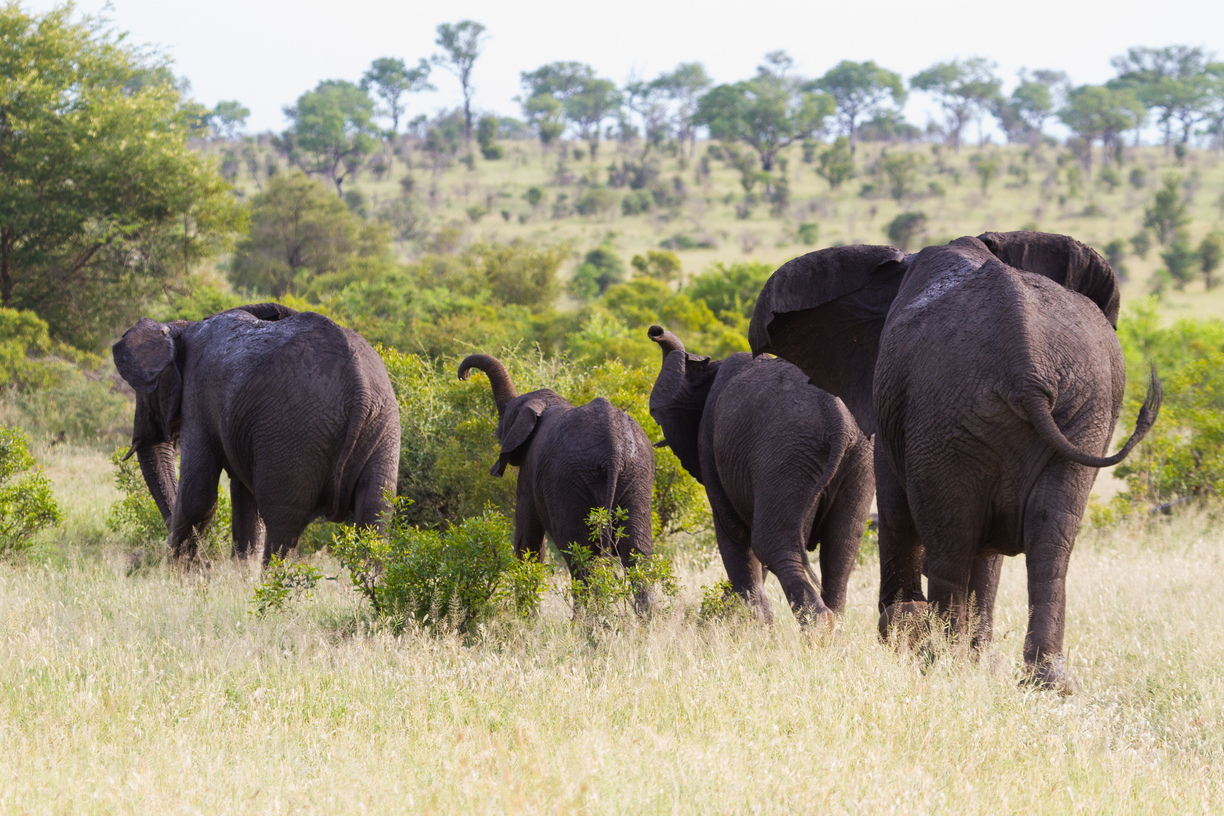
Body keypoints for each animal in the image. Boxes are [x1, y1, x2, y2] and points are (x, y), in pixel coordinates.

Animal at [112, 303, 401, 564]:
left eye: (145, 393)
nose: (205, 566)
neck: (182, 329)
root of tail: (360, 389)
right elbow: (244, 501)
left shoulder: (198, 396)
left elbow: (198, 496)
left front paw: (178, 576)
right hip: (383, 426)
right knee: (375, 514)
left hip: (294, 433)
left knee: (283, 524)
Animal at [457, 353, 655, 592]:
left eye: (505, 421)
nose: (463, 376)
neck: (548, 402)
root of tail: (613, 450)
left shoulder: (528, 474)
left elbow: (527, 540)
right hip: (638, 475)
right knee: (636, 552)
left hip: (569, 480)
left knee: (581, 554)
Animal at [647, 325, 874, 627]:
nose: (655, 331)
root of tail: (838, 420)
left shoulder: (709, 443)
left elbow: (734, 534)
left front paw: (753, 626)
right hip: (860, 458)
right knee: (841, 549)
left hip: (786, 451)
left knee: (772, 545)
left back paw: (818, 627)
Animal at [749, 232, 1161, 692]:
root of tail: (1028, 364)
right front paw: (976, 657)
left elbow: (896, 503)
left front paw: (905, 636)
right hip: (1076, 406)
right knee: (1047, 538)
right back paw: (1043, 681)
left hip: (954, 414)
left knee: (952, 536)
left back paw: (941, 660)